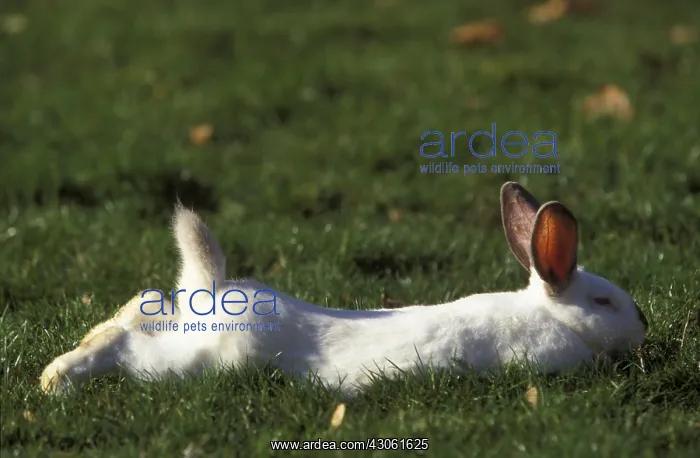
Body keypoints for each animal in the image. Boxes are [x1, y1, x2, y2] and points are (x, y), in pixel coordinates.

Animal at [40, 181, 648, 396]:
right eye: (604, 301)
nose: (643, 324)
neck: (554, 317)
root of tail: (211, 288)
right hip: (186, 362)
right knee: (122, 344)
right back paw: (56, 381)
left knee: (135, 309)